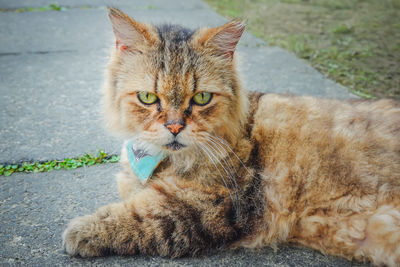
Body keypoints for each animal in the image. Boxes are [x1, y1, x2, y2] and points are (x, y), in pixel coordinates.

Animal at [61, 7, 400, 266]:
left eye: (201, 98)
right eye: (147, 97)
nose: (175, 127)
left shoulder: (212, 204)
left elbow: (139, 215)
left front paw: (82, 231)